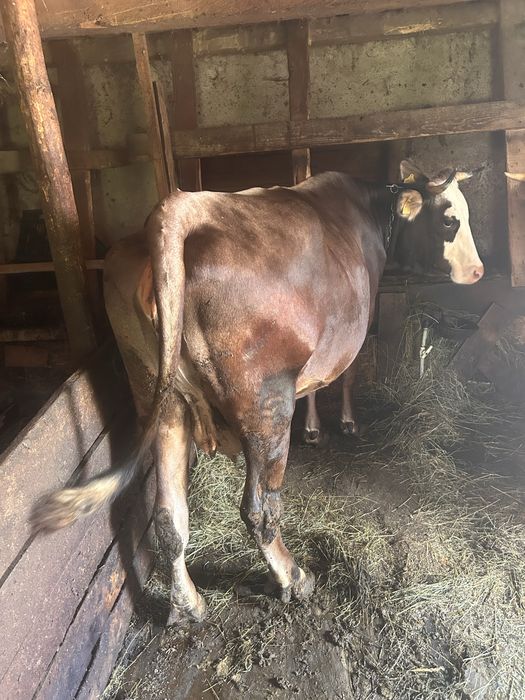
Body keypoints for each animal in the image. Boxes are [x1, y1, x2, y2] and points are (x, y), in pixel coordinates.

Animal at [31, 159, 484, 625]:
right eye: (450, 220)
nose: (479, 271)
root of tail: (184, 208)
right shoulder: (350, 333)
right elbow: (346, 376)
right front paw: (343, 423)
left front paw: (315, 428)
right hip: (266, 403)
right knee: (260, 509)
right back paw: (292, 577)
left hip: (161, 397)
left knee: (169, 516)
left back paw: (187, 604)